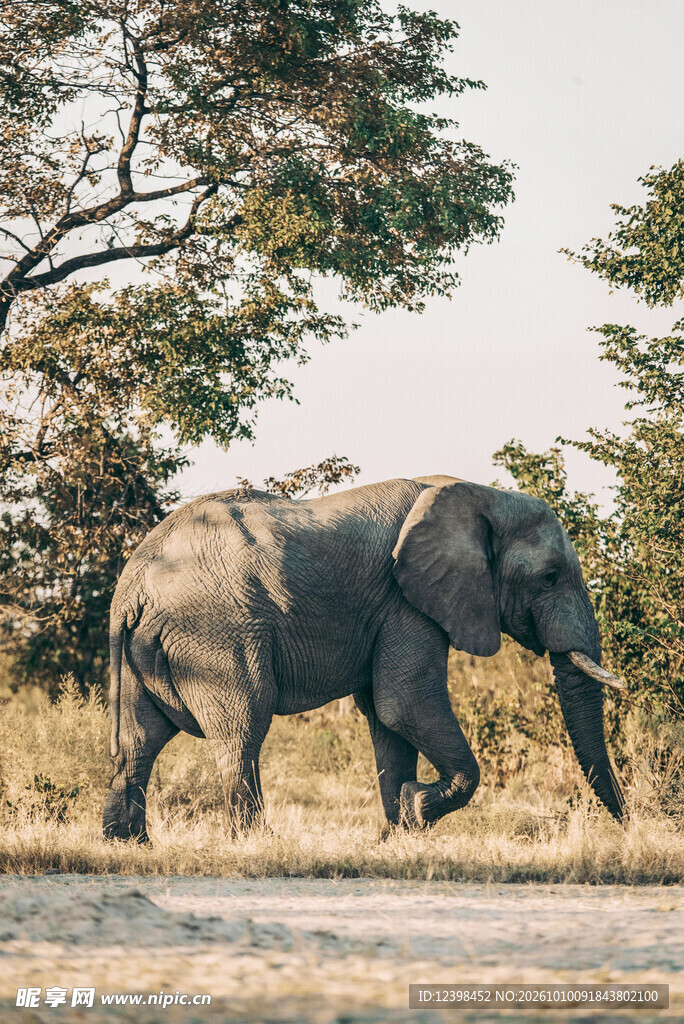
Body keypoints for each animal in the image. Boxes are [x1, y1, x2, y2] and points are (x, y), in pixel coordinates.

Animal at [103, 477, 626, 841]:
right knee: (242, 729)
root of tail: (134, 583)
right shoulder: (405, 602)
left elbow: (387, 720)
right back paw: (254, 844)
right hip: (217, 629)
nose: (625, 826)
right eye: (550, 577)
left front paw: (398, 834)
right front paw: (416, 809)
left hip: (142, 648)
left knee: (139, 739)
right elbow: (404, 703)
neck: (481, 495)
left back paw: (128, 845)